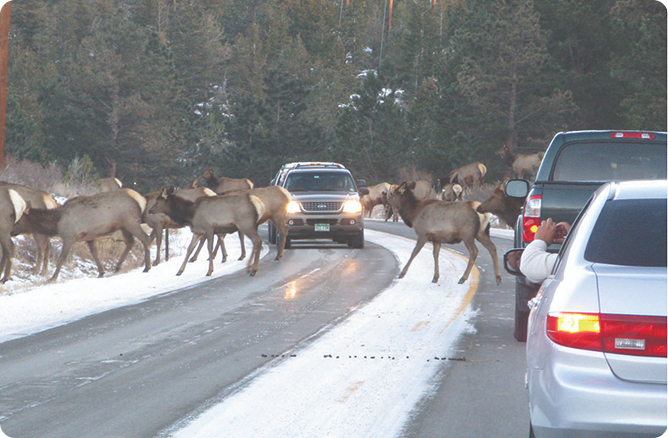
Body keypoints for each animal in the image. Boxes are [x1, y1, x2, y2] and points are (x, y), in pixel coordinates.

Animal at [22, 189, 151, 282]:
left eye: (20, 219)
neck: (56, 223)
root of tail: (142, 200)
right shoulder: (89, 237)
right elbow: (94, 253)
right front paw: (101, 272)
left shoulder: (69, 237)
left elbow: (61, 258)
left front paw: (52, 278)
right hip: (123, 226)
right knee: (130, 242)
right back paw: (117, 267)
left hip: (130, 222)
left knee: (145, 238)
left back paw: (147, 267)